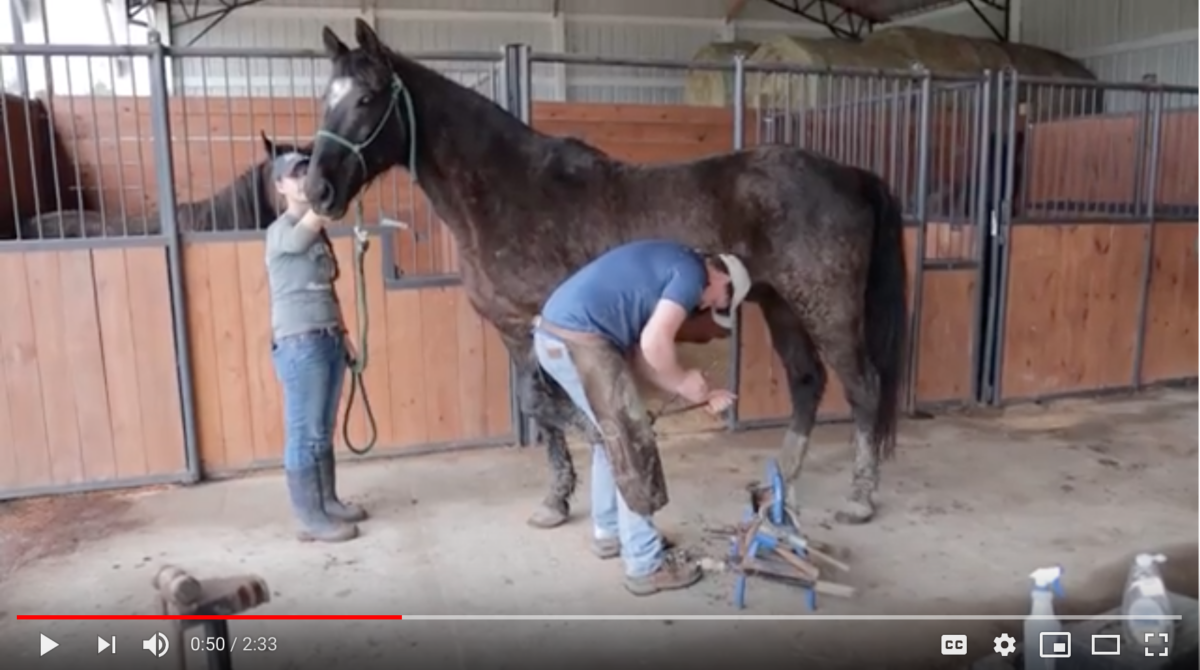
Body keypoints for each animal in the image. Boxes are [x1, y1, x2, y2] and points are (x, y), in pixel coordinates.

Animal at [304, 19, 909, 527]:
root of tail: (851, 173)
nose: (318, 192)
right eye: (325, 100)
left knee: (863, 386)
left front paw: (587, 468)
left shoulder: (538, 327)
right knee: (807, 382)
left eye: (366, 98)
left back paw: (859, 498)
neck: (507, 192)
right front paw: (556, 500)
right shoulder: (515, 333)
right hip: (780, 303)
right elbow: (538, 407)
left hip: (826, 306)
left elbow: (547, 406)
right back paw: (779, 480)